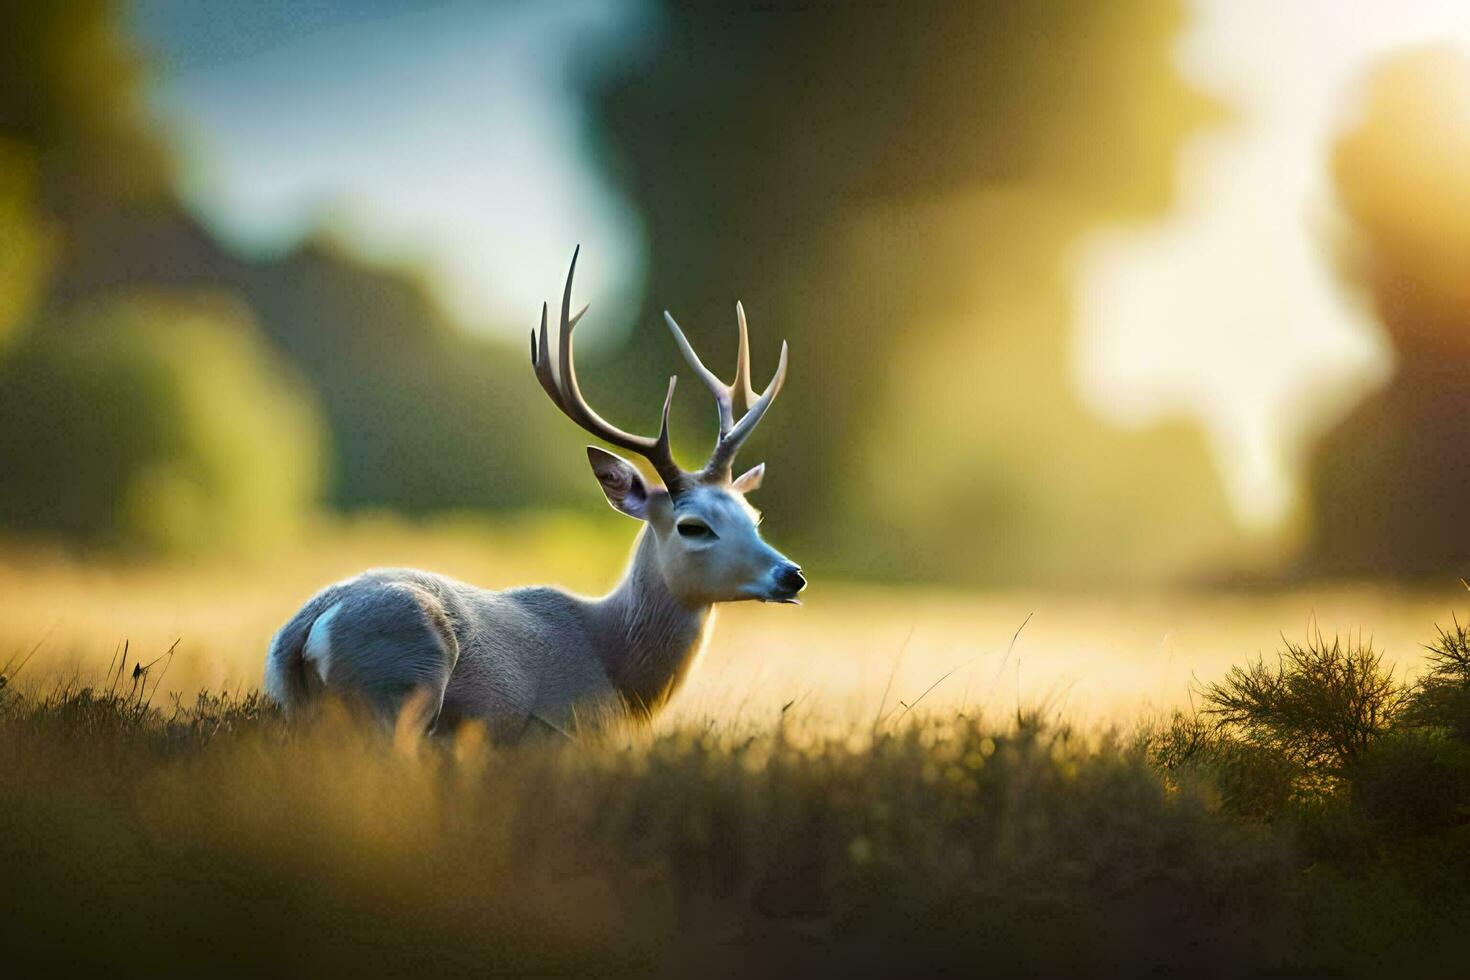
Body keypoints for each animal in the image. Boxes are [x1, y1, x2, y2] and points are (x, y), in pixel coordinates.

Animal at [261, 249, 805, 740]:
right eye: (693, 526)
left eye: (753, 515)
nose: (791, 574)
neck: (619, 667)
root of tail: (304, 632)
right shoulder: (564, 731)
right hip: (401, 687)